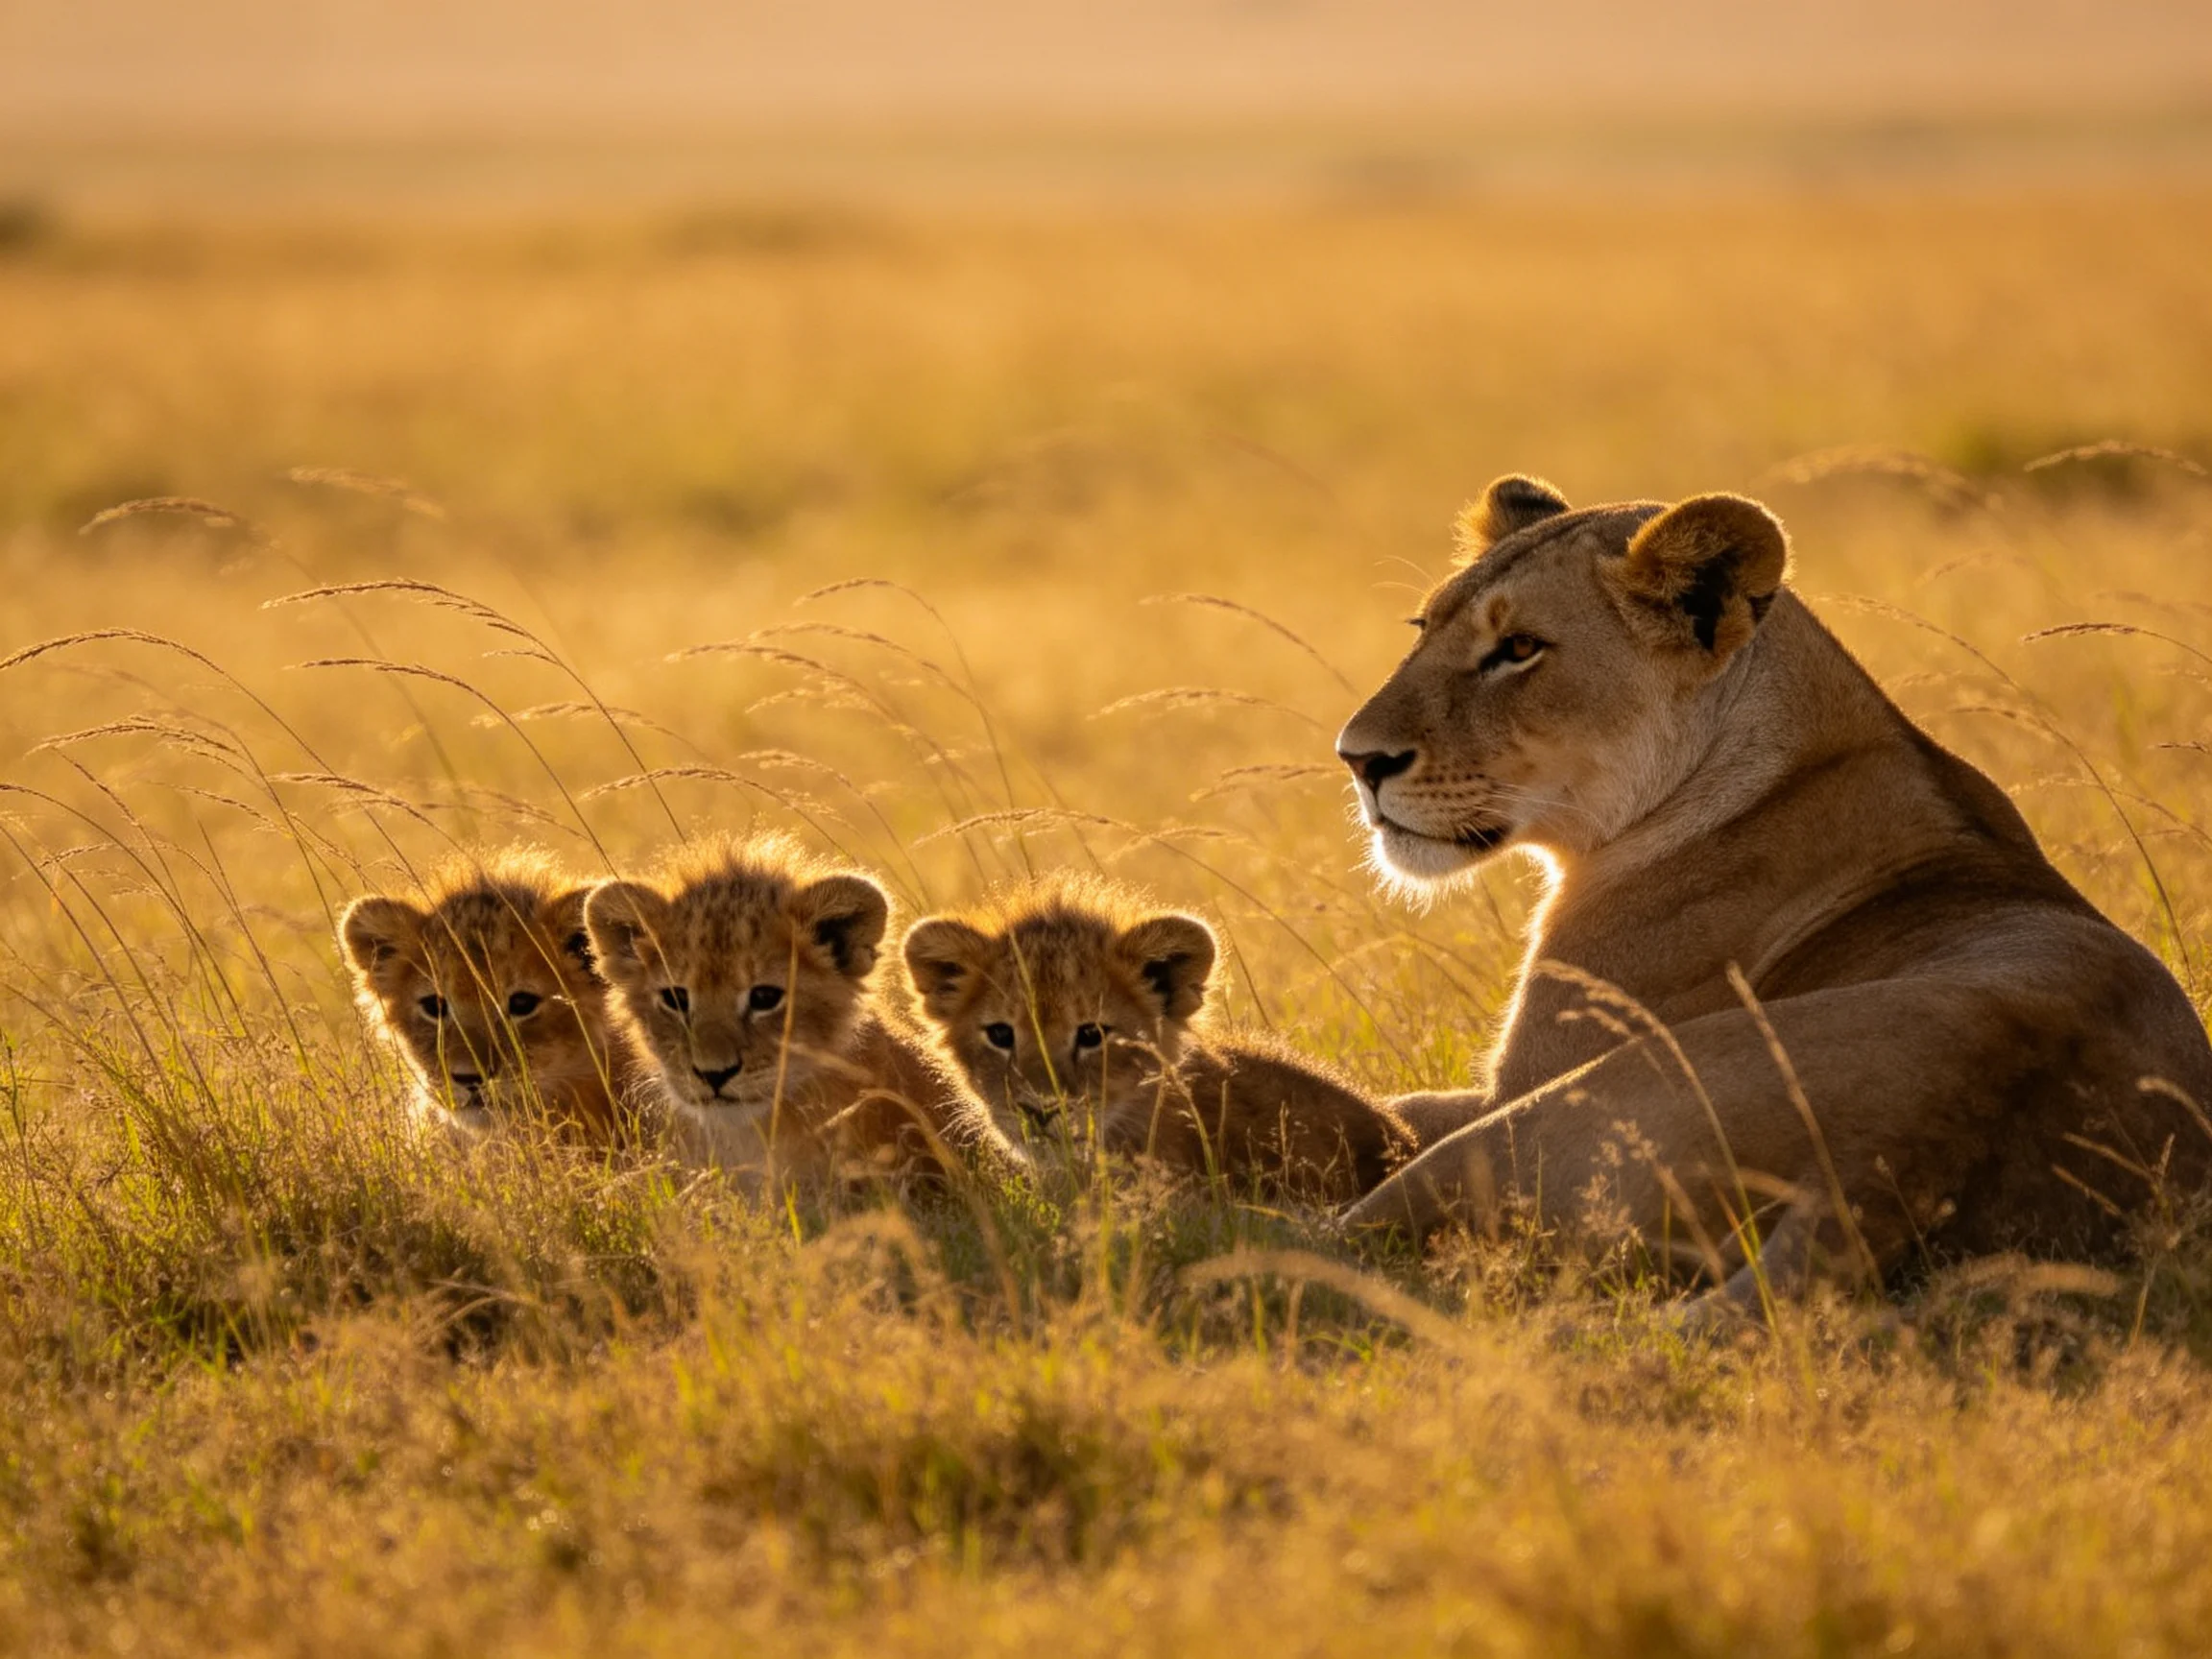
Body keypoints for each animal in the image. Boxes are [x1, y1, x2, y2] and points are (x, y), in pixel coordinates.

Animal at [1336, 474, 2212, 1307]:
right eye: (1423, 629)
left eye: (1519, 648)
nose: (1358, 758)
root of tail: (1896, 1156)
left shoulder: (1515, 1081)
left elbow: (1401, 1103)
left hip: (1529, 1122)